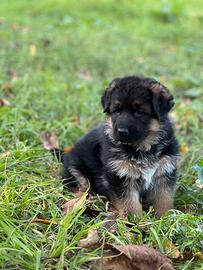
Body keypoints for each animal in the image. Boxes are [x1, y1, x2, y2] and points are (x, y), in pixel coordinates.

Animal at [61, 76, 178, 217]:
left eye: (139, 112)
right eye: (117, 111)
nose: (122, 131)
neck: (141, 147)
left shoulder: (164, 171)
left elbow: (164, 198)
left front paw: (165, 217)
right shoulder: (120, 176)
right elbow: (130, 203)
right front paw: (135, 220)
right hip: (77, 169)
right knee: (81, 187)